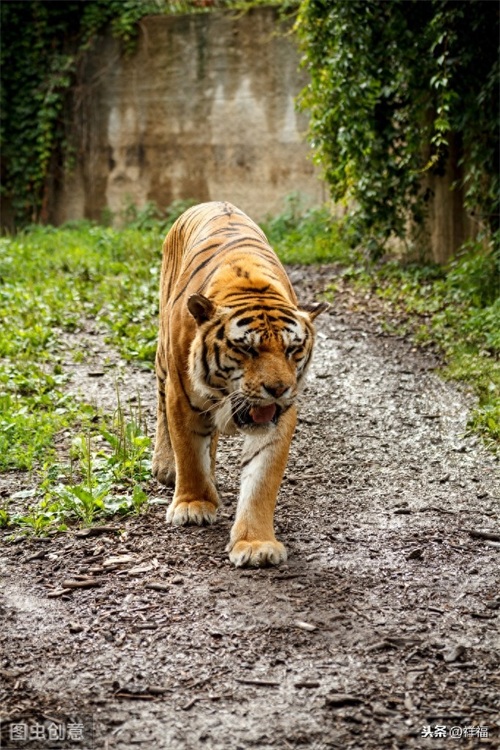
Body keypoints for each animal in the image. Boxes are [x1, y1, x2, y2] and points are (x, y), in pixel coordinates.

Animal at [152, 201, 328, 567]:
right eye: (246, 349)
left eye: (292, 349)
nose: (278, 389)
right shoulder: (182, 395)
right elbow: (188, 450)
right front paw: (192, 505)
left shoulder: (280, 416)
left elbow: (261, 480)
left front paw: (255, 543)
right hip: (163, 355)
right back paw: (166, 467)